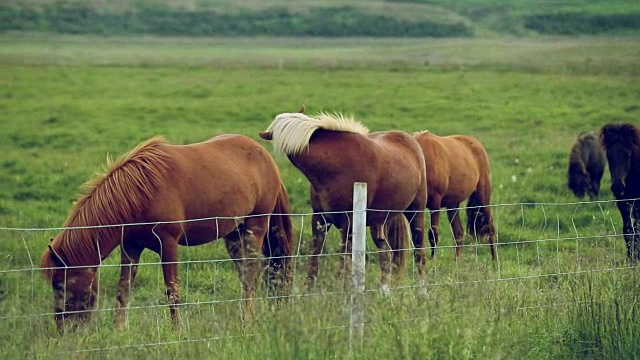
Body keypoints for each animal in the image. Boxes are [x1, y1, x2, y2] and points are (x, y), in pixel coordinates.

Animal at [42, 134, 296, 332]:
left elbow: (172, 292)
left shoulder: (169, 244)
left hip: (256, 226)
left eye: (60, 285)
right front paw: (119, 331)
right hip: (233, 234)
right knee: (245, 274)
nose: (62, 329)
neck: (140, 193)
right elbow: (123, 290)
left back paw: (247, 320)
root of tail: (266, 158)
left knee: (252, 273)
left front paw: (177, 331)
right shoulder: (131, 246)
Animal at [258, 106, 428, 292]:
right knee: (386, 253)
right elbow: (314, 262)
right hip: (379, 222)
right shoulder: (320, 221)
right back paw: (384, 292)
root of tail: (410, 140)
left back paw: (422, 292)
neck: (335, 167)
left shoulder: (349, 224)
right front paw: (310, 293)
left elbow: (343, 265)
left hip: (415, 213)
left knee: (419, 253)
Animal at [412, 131, 498, 260]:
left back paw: (495, 261)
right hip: (453, 204)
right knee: (459, 234)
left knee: (490, 227)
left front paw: (433, 261)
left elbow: (433, 235)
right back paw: (458, 263)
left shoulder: (435, 204)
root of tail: (477, 144)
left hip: (483, 197)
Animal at [600, 122, 640, 262]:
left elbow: (636, 230)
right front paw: (630, 259)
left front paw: (636, 258)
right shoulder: (622, 202)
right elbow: (628, 230)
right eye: (608, 156)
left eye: (628, 156)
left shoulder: (638, 203)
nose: (617, 187)